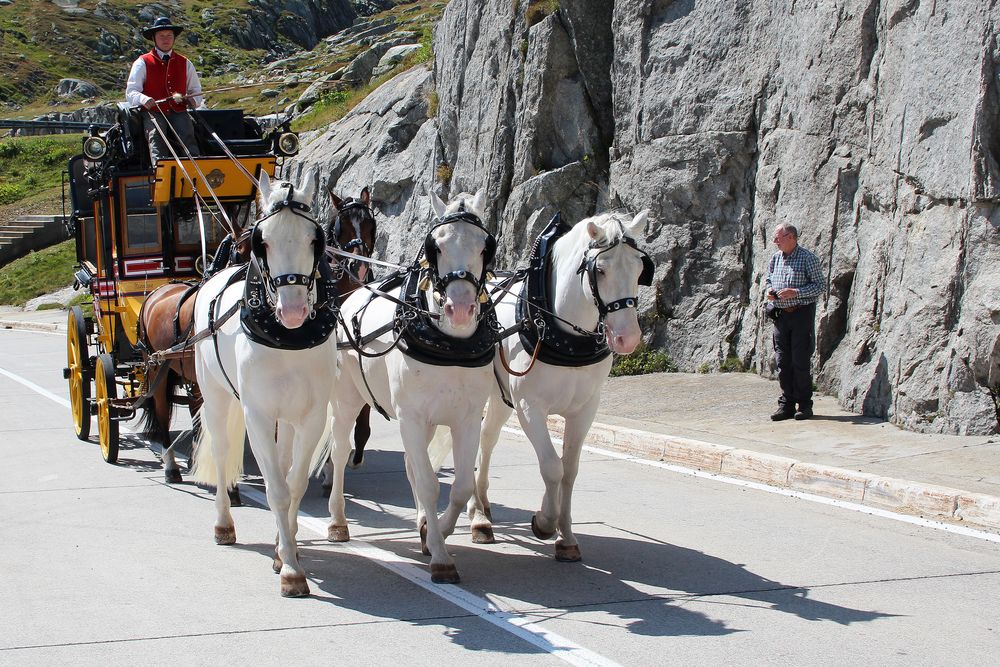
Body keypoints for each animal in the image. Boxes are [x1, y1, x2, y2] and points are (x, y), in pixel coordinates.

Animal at [190, 172, 340, 600]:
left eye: (314, 240)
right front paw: (290, 569)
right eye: (265, 241)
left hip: (286, 418)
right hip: (218, 398)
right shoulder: (256, 415)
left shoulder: (310, 416)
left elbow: (294, 484)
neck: (287, 338)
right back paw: (224, 524)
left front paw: (284, 550)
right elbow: (275, 488)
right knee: (222, 452)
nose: (293, 311)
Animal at [326, 189, 498, 584]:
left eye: (486, 246)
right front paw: (440, 556)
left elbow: (458, 485)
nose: (460, 310)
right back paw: (338, 520)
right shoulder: (412, 417)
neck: (450, 344)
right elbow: (430, 483)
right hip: (347, 401)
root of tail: (351, 296)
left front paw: (434, 532)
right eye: (435, 246)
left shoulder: (466, 419)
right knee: (340, 453)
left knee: (411, 467)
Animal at [428, 210, 648, 564]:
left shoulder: (585, 409)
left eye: (641, 269)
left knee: (486, 440)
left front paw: (566, 536)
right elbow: (551, 467)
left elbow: (569, 470)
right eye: (600, 269)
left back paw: (481, 510)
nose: (627, 337)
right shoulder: (530, 407)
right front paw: (545, 522)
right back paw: (479, 518)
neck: (561, 330)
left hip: (498, 397)